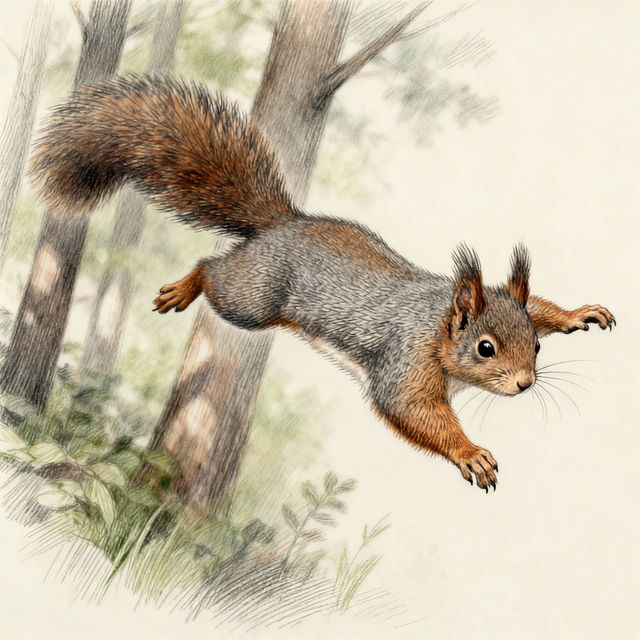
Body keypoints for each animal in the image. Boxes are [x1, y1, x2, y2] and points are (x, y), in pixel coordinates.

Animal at [30, 76, 616, 491]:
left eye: (536, 346)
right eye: (485, 348)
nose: (525, 384)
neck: (438, 324)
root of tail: (281, 224)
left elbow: (540, 306)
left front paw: (579, 314)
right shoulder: (406, 362)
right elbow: (411, 412)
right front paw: (470, 453)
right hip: (252, 296)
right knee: (212, 270)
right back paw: (185, 286)